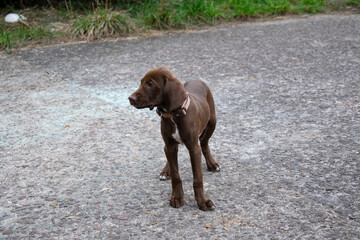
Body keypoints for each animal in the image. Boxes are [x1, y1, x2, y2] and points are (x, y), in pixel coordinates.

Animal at [129, 67, 219, 210]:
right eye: (141, 82)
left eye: (150, 84)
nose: (130, 98)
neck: (172, 115)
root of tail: (197, 79)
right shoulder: (170, 145)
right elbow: (176, 175)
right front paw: (177, 198)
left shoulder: (194, 148)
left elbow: (197, 178)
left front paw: (202, 201)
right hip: (170, 144)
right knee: (169, 155)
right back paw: (166, 171)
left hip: (212, 122)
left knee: (204, 143)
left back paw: (212, 164)